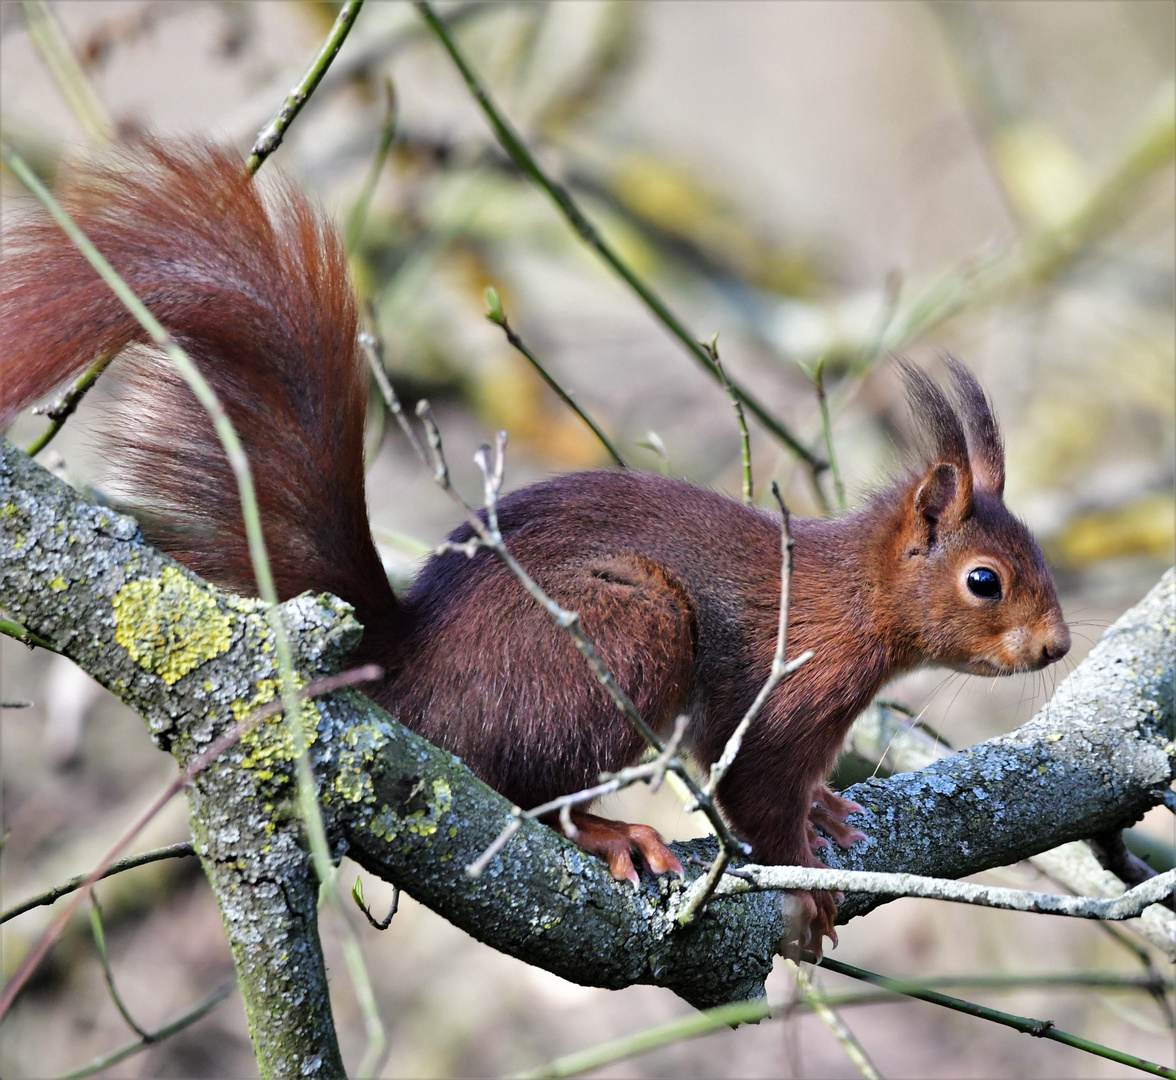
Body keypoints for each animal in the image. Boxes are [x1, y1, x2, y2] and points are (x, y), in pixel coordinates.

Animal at [0, 143, 1072, 945]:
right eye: (985, 581)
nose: (1057, 645)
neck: (858, 594)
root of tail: (405, 661)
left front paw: (828, 812)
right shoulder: (783, 693)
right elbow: (753, 799)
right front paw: (805, 886)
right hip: (621, 629)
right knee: (531, 796)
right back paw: (612, 835)